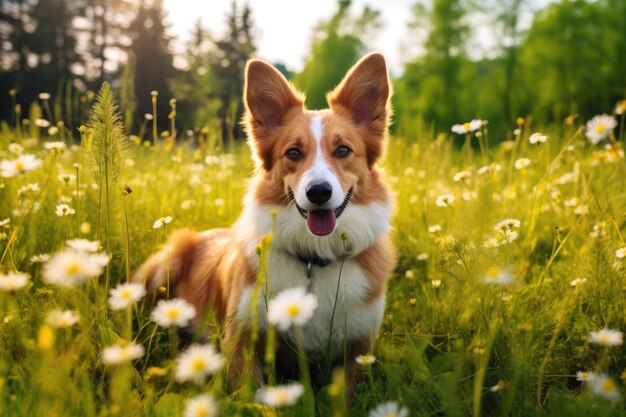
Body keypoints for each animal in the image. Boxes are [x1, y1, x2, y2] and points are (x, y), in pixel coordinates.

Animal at [133, 52, 394, 390]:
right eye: (293, 153)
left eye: (343, 150)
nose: (318, 192)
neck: (314, 257)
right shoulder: (241, 337)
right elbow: (251, 392)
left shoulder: (360, 348)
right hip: (166, 261)